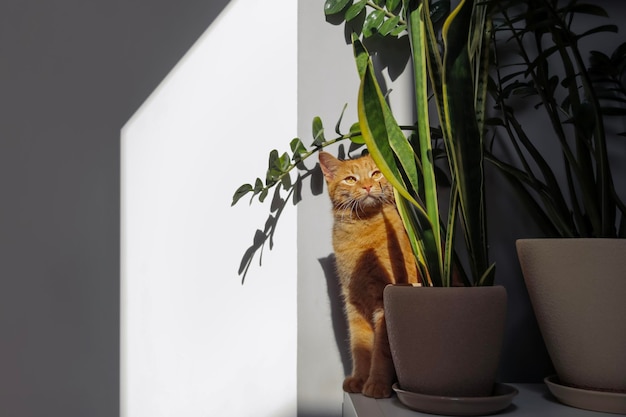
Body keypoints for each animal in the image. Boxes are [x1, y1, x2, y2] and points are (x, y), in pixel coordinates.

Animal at [316, 151, 420, 398]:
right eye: (350, 179)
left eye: (375, 173)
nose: (367, 186)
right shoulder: (353, 303)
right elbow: (360, 345)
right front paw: (359, 379)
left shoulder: (386, 299)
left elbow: (381, 349)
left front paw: (376, 384)